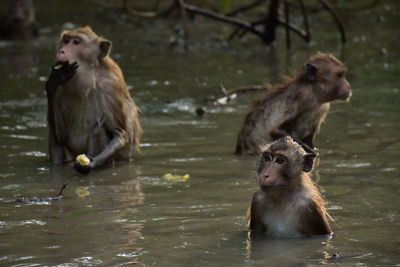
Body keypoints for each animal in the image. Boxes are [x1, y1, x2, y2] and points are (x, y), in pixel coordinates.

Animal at [46, 25, 142, 176]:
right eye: (66, 40)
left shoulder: (110, 87)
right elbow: (60, 135)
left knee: (99, 129)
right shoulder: (60, 88)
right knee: (54, 136)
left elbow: (120, 134)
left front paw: (91, 163)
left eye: (76, 42)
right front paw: (53, 81)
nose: (61, 51)